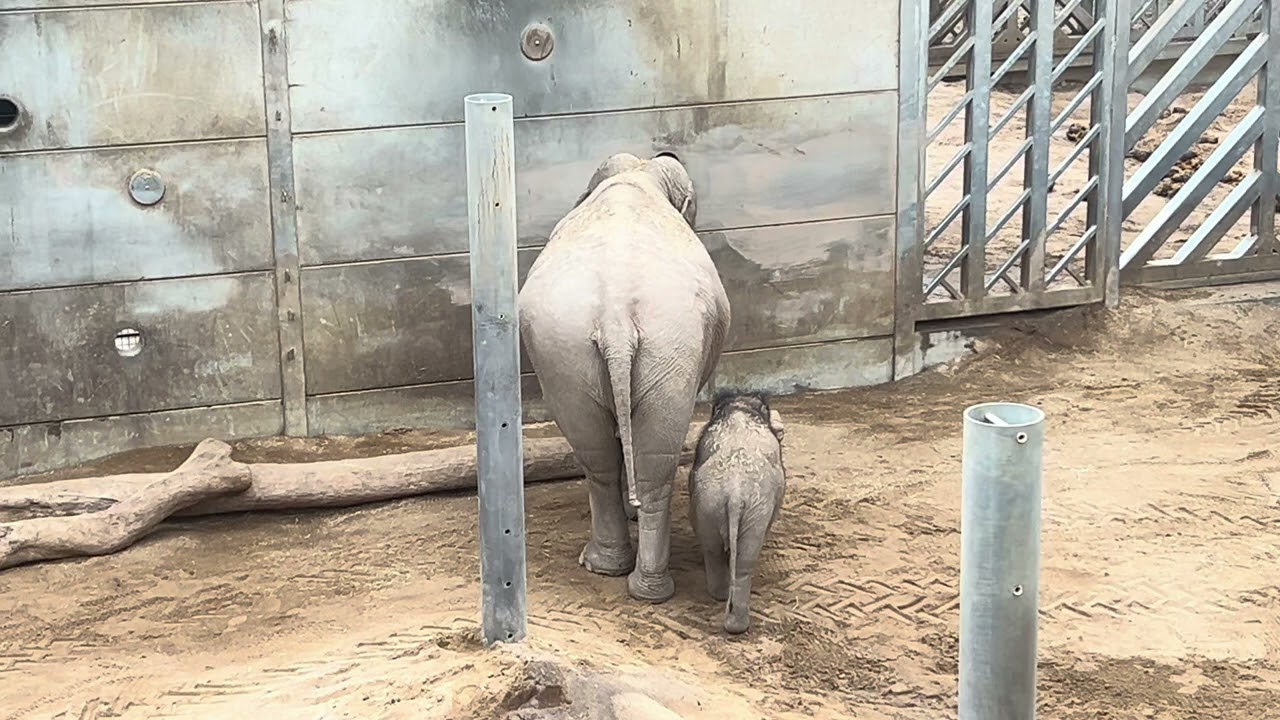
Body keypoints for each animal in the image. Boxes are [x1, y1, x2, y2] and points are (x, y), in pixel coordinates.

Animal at [518, 151, 731, 603]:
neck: (638, 171)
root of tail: (614, 311)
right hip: (668, 343)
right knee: (651, 464)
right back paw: (642, 583)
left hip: (565, 349)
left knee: (596, 453)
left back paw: (616, 570)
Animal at [687, 392, 787, 634]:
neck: (740, 406)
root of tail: (735, 492)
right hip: (747, 510)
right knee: (735, 557)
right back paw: (731, 611)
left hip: (719, 505)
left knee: (724, 553)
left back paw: (728, 609)